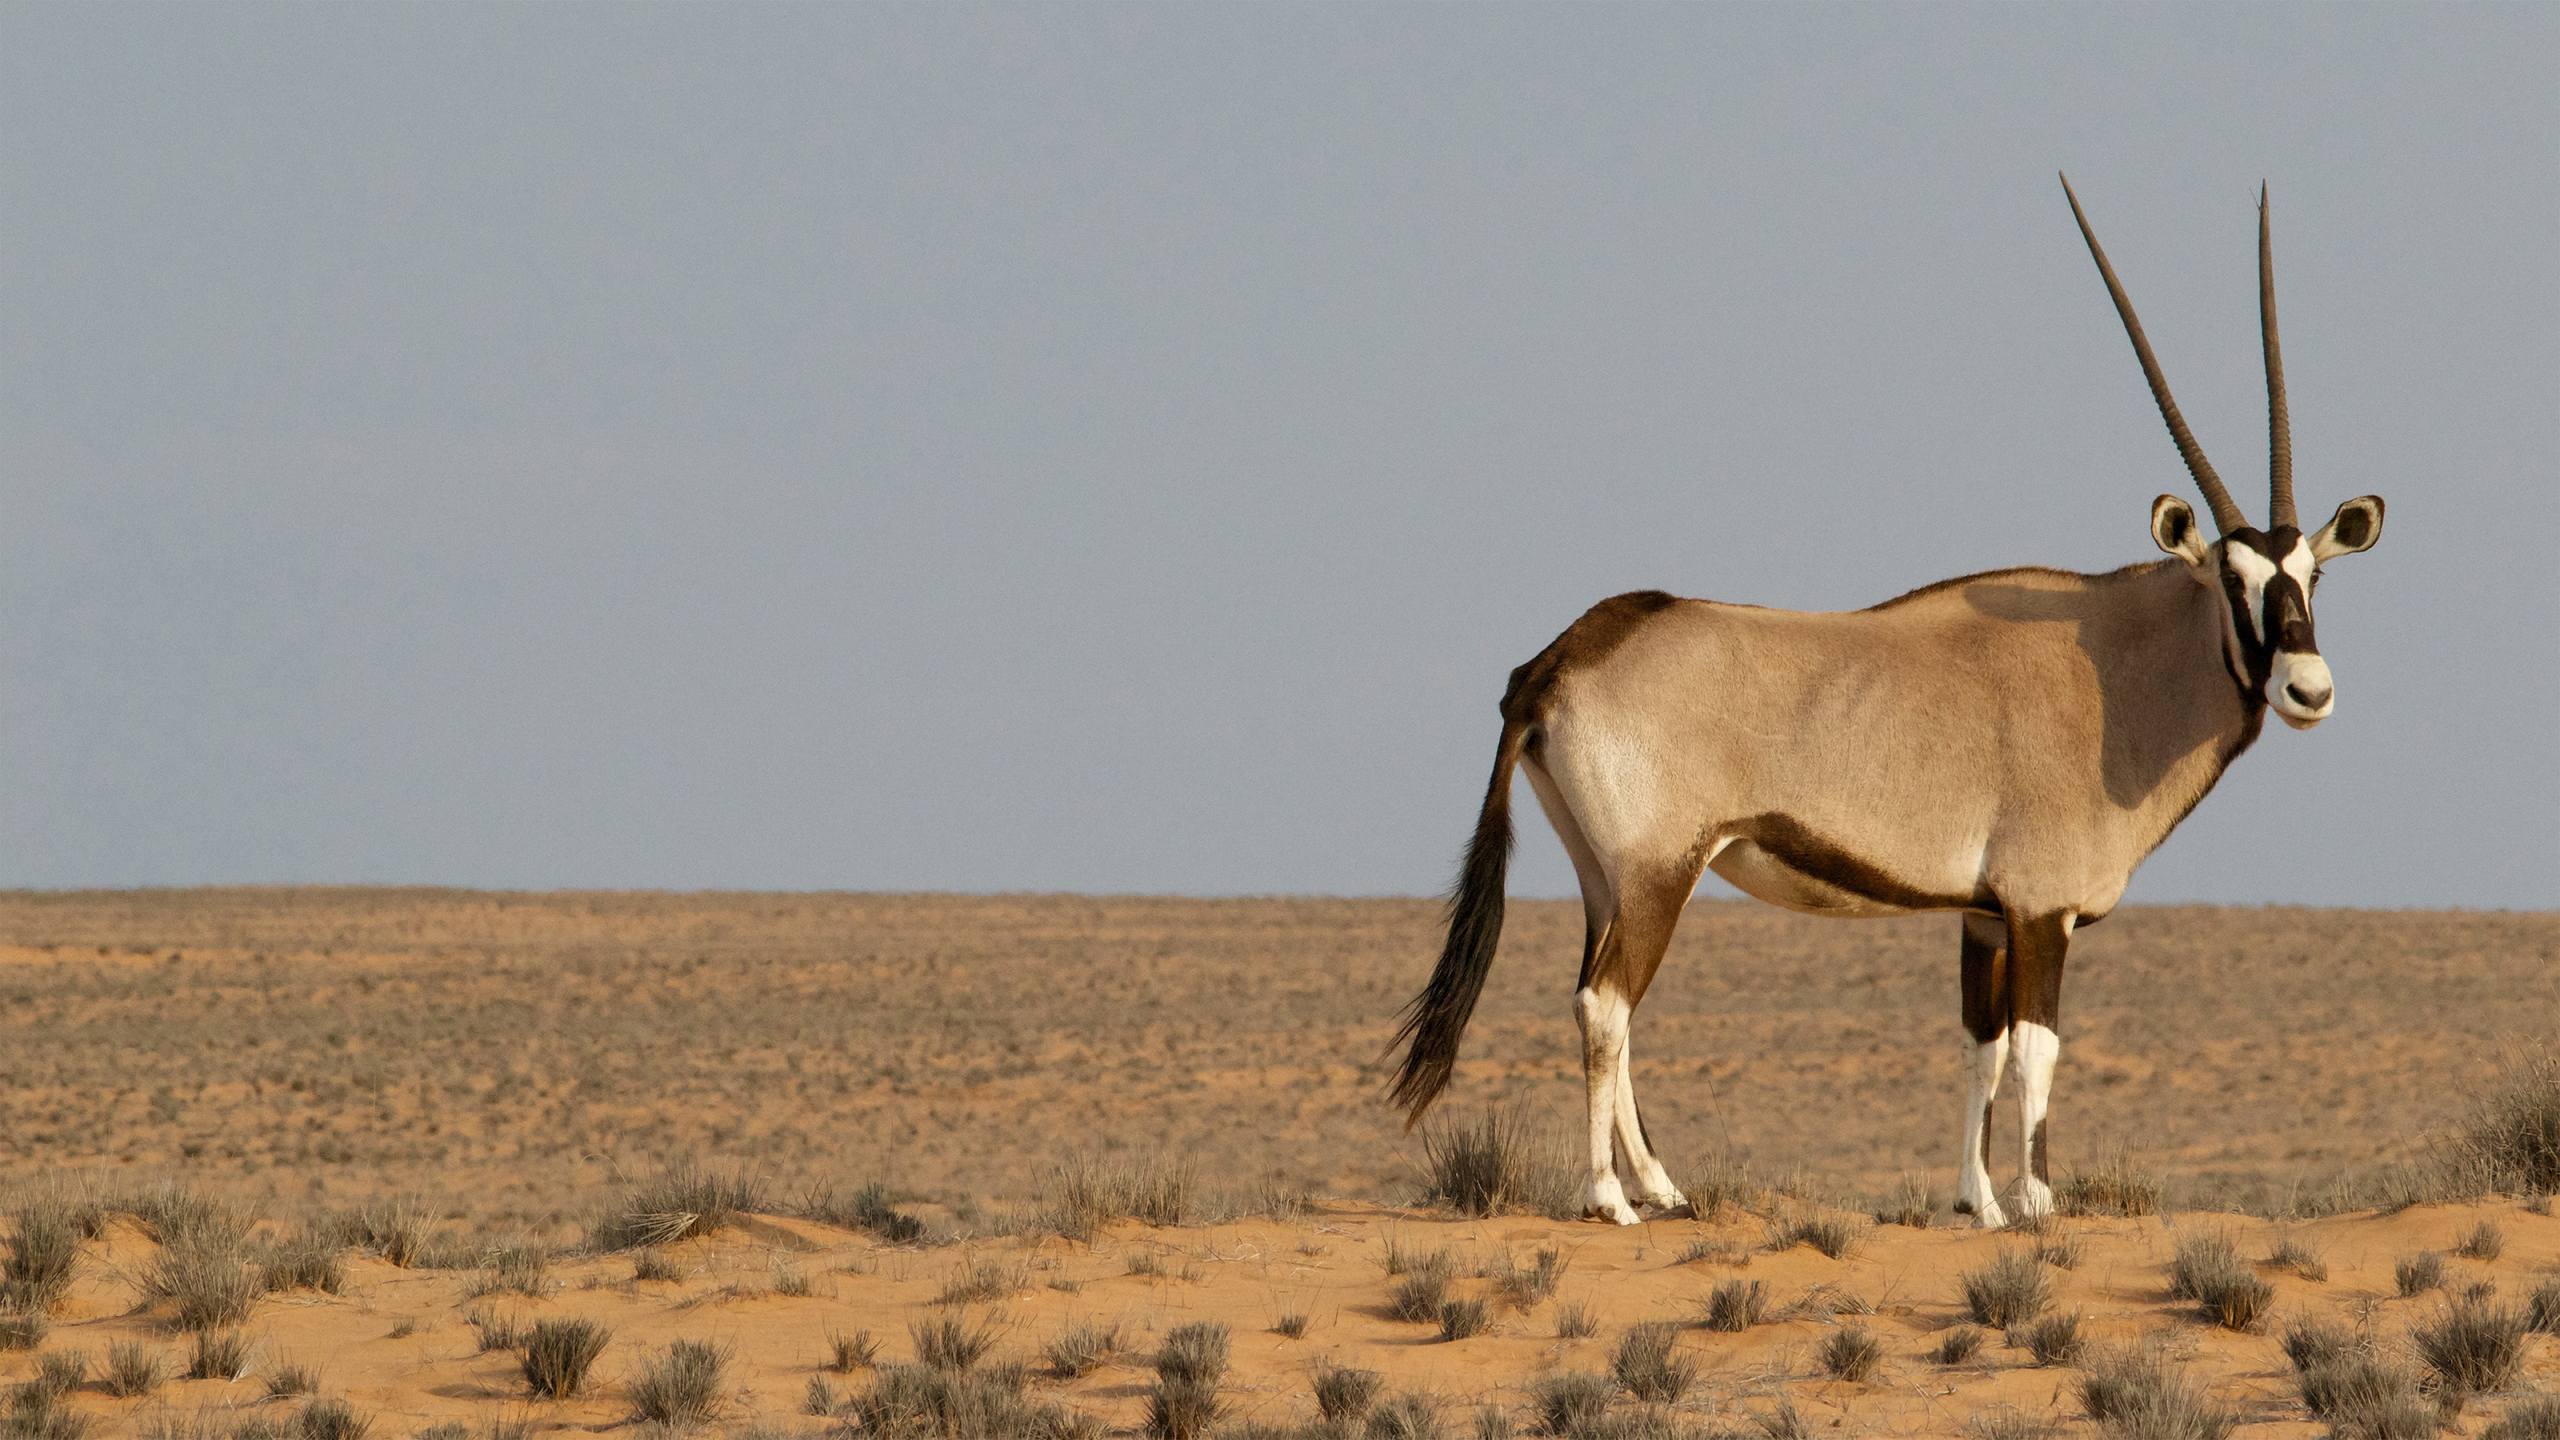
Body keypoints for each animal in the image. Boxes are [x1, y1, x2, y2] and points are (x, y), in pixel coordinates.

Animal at [1392, 176, 2385, 1219]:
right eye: (2233, 580)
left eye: (2312, 575)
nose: (2308, 688)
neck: (2111, 667)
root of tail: (1556, 659)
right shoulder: (2041, 912)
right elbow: (2036, 1054)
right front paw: (2038, 1204)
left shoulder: (1983, 913)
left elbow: (1979, 1051)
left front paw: (1978, 1204)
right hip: (1661, 870)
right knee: (1606, 1005)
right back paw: (1610, 1197)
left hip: (1603, 877)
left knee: (1598, 998)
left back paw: (1662, 1186)